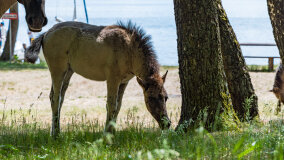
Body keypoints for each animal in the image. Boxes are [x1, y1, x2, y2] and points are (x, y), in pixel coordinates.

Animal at [25, 21, 170, 136]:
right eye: (150, 98)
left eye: (166, 97)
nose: (167, 123)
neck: (130, 51)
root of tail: (45, 34)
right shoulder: (112, 79)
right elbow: (111, 105)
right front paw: (107, 134)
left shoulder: (124, 81)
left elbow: (118, 106)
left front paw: (113, 131)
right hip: (57, 70)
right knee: (55, 98)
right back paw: (56, 134)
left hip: (68, 71)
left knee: (57, 97)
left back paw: (54, 131)